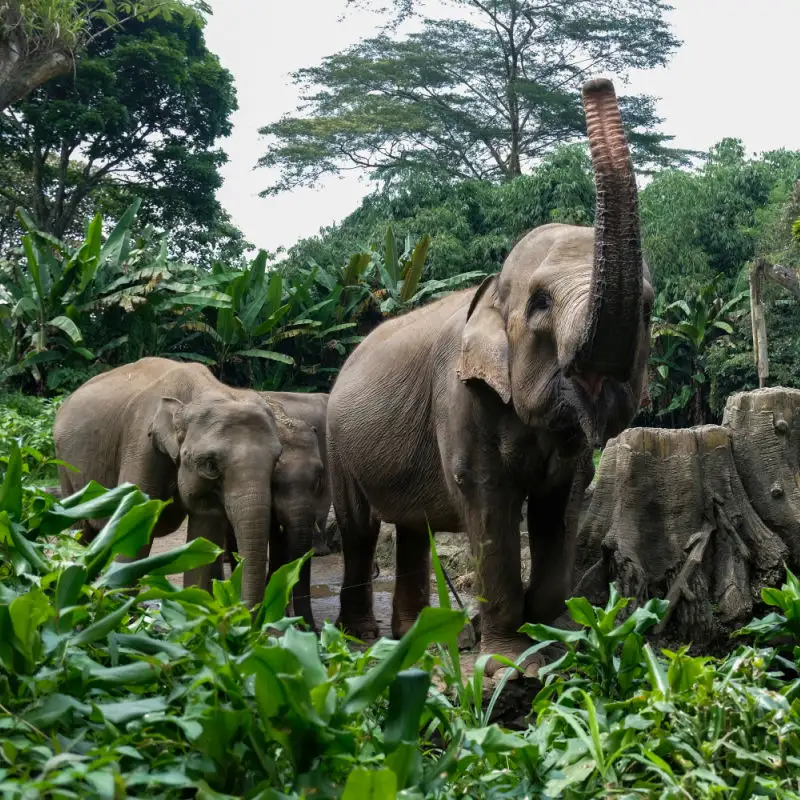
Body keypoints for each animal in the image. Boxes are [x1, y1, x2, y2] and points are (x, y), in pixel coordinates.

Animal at [53, 357, 282, 608]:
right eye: (210, 465)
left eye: (277, 460)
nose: (245, 609)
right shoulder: (142, 446)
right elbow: (135, 526)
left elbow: (205, 536)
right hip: (64, 466)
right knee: (79, 529)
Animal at [326, 78, 654, 678]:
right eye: (541, 303)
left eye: (646, 309)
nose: (597, 83)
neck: (492, 287)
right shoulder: (458, 395)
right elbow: (486, 498)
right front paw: (505, 661)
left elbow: (561, 505)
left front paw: (554, 637)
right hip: (337, 443)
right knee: (361, 530)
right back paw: (364, 639)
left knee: (413, 530)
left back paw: (417, 637)